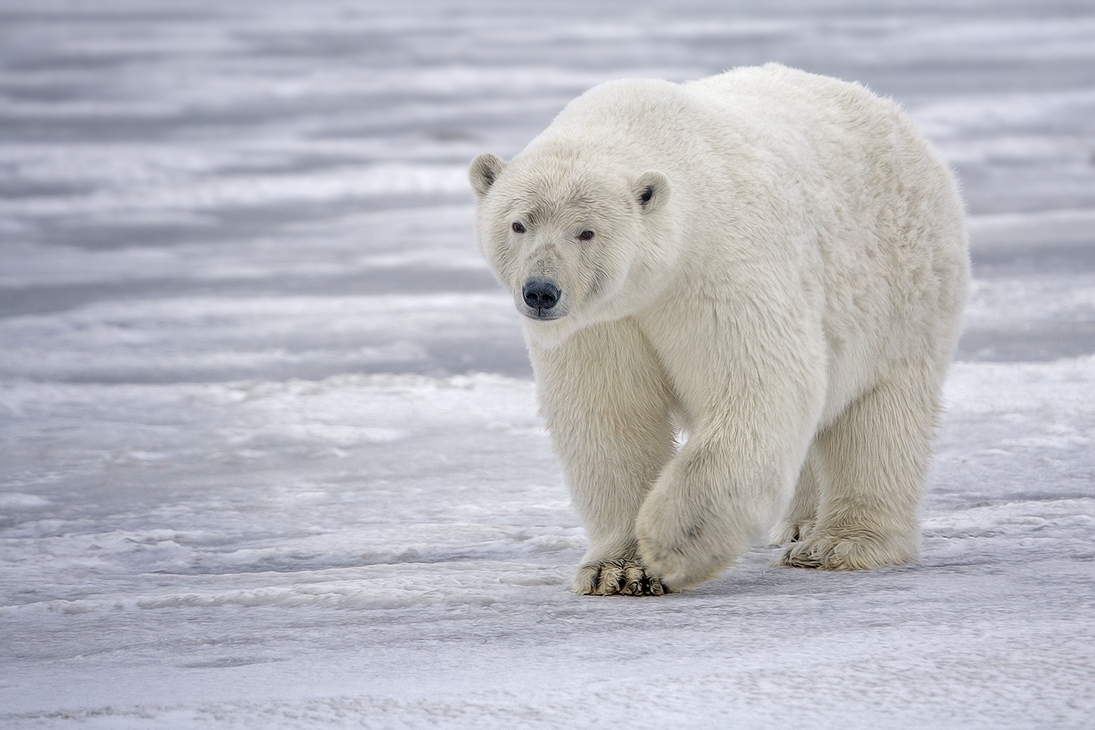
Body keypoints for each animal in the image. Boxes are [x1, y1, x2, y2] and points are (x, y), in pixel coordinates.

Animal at [468, 65, 967, 595]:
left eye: (586, 232)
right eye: (518, 224)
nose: (541, 292)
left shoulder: (720, 268)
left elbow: (758, 386)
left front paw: (669, 544)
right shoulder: (602, 322)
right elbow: (610, 416)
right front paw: (617, 570)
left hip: (903, 289)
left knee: (879, 419)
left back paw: (838, 544)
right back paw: (800, 524)